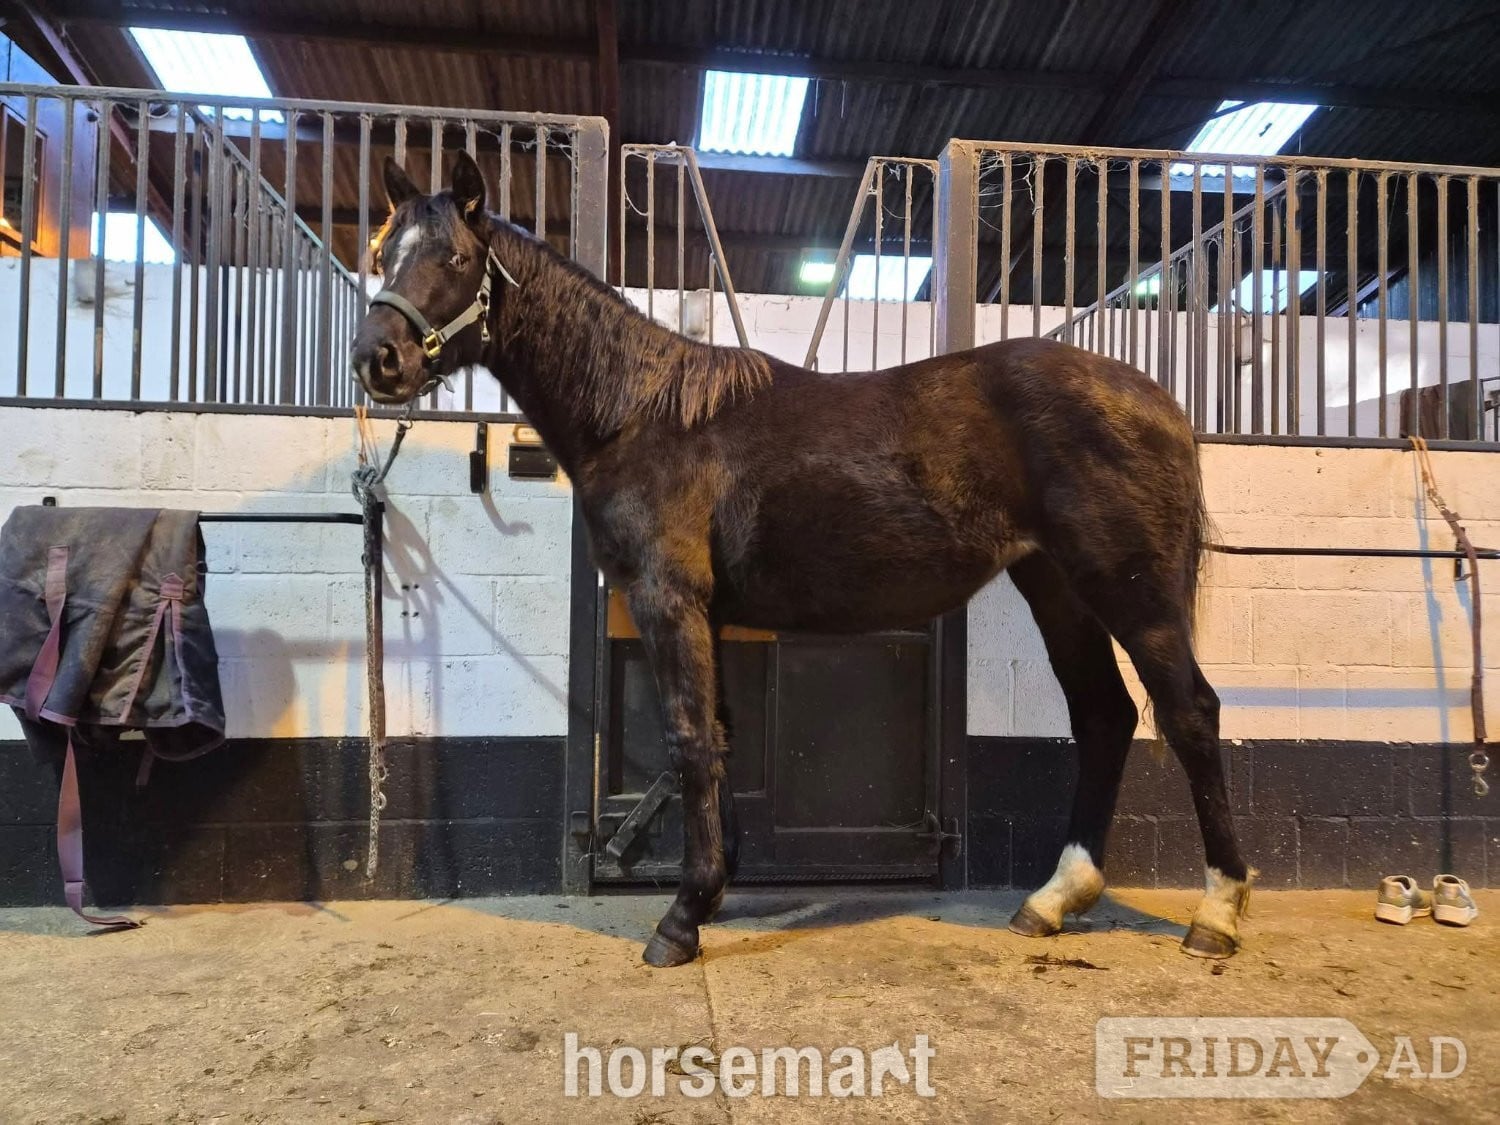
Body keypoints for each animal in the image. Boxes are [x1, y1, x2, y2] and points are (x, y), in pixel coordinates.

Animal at [351, 153, 1252, 967]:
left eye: (455, 260)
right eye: (382, 252)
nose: (375, 359)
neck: (642, 414)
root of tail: (1160, 400)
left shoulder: (668, 598)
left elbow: (689, 741)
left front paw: (681, 920)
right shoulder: (708, 614)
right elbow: (719, 736)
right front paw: (714, 889)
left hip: (1130, 590)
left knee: (1189, 712)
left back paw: (1217, 913)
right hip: (1057, 587)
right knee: (1104, 715)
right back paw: (1054, 899)